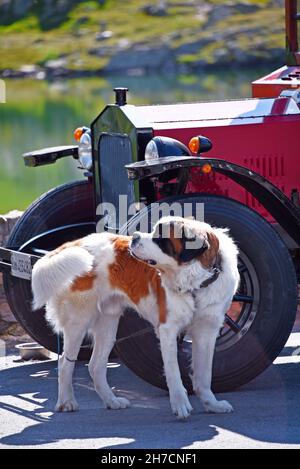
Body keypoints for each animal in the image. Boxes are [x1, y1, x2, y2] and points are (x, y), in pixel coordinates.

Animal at [31, 215, 239, 416]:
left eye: (160, 238)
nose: (135, 237)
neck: (197, 283)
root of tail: (75, 243)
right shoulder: (168, 330)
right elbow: (173, 371)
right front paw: (180, 404)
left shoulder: (207, 331)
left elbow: (204, 375)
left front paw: (212, 404)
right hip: (78, 321)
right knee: (65, 364)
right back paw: (66, 402)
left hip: (108, 323)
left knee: (95, 365)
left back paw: (112, 401)